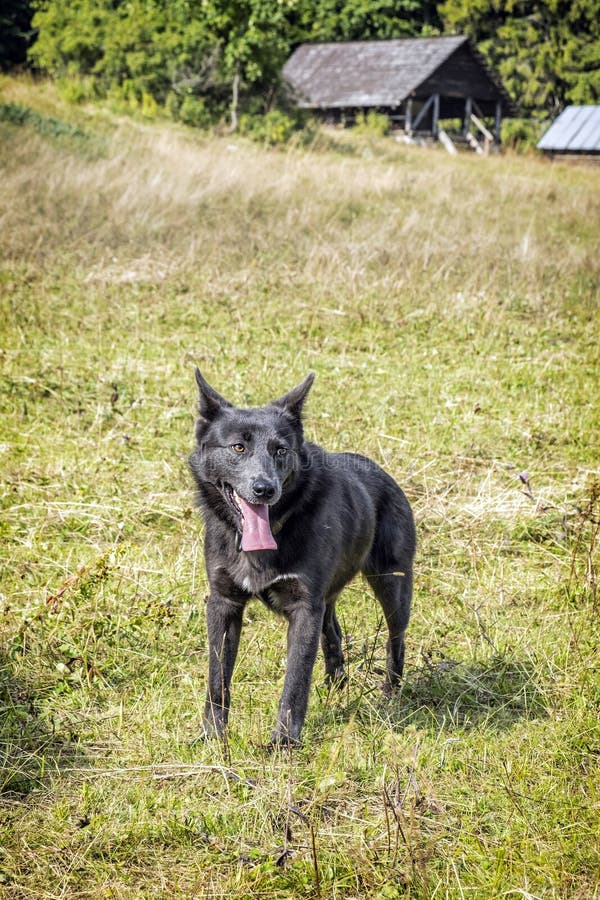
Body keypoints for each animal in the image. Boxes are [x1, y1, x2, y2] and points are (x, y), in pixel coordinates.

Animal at [190, 372, 414, 744]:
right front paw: (213, 736)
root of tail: (379, 471)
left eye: (281, 450)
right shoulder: (224, 602)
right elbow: (217, 677)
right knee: (333, 632)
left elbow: (295, 681)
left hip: (393, 587)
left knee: (395, 642)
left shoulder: (304, 607)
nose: (265, 489)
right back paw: (336, 690)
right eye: (238, 447)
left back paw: (390, 696)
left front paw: (284, 742)